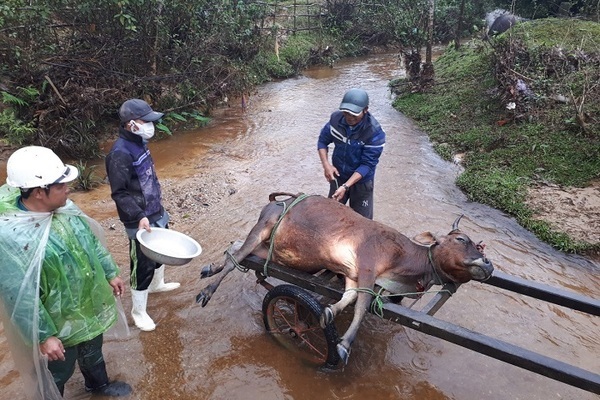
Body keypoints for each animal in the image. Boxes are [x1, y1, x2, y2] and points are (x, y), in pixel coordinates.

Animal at [197, 192, 492, 364]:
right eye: (461, 240)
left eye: (478, 245)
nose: (487, 263)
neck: (402, 262)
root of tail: (276, 200)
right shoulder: (368, 267)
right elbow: (361, 307)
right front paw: (343, 345)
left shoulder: (353, 274)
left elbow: (348, 298)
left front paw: (329, 312)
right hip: (264, 227)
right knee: (236, 258)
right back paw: (207, 290)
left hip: (270, 248)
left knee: (236, 249)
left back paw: (210, 267)